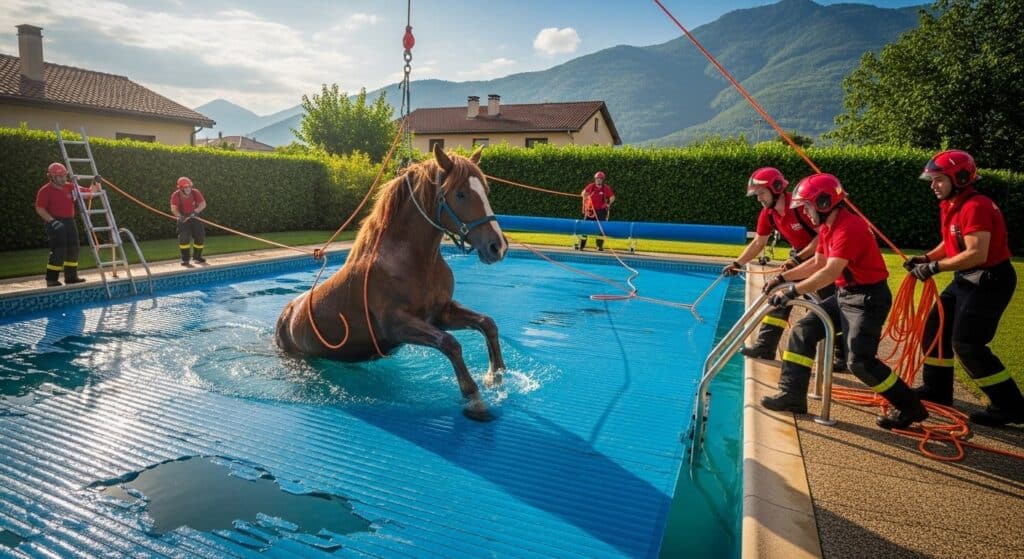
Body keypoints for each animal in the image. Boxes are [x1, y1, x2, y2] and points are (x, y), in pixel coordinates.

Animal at [275, 144, 508, 421]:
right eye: (460, 194)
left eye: (485, 191)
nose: (497, 247)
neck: (411, 262)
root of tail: (286, 315)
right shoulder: (397, 325)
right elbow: (450, 344)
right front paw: (475, 401)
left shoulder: (441, 313)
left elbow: (487, 323)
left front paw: (496, 376)